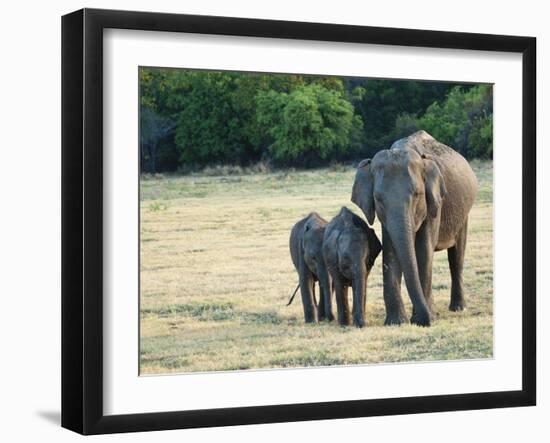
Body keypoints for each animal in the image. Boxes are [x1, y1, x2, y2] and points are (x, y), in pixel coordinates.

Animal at [354, 130, 478, 328]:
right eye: (378, 198)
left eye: (417, 194)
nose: (427, 321)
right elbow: (390, 251)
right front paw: (396, 323)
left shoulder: (435, 202)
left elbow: (423, 250)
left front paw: (423, 318)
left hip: (463, 213)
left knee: (457, 257)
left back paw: (458, 308)